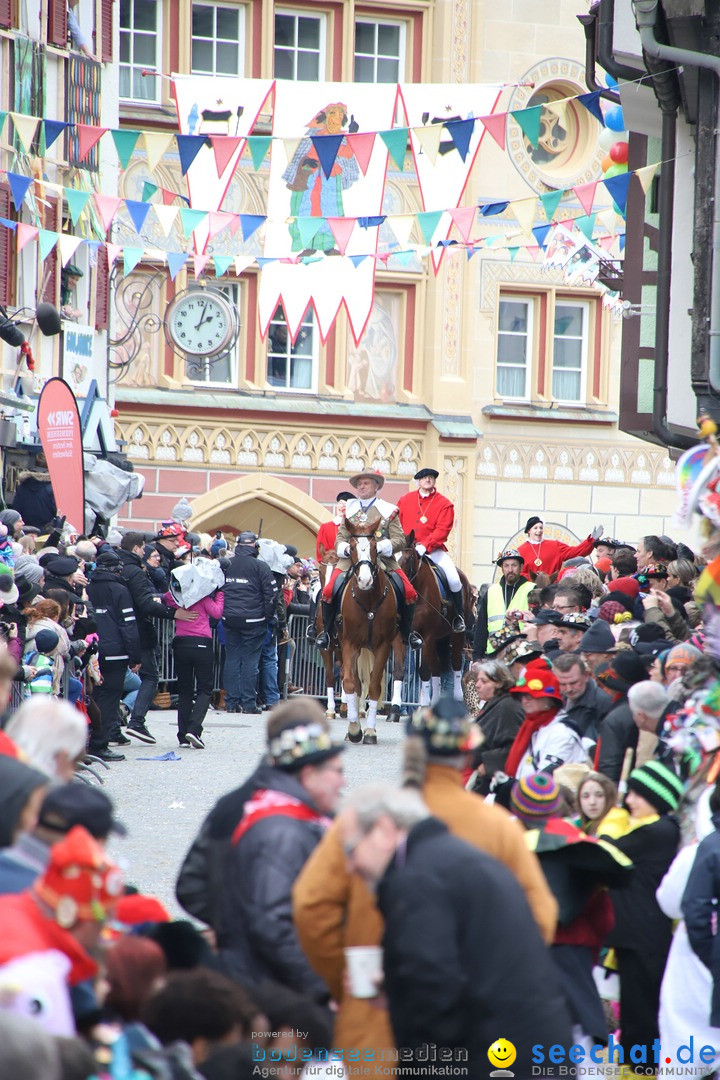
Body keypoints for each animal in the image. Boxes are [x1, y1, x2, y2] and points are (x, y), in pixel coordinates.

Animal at [334, 520, 403, 743]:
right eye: (351, 547)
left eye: (374, 547)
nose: (365, 581)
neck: (369, 600)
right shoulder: (349, 645)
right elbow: (349, 683)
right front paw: (354, 729)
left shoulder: (383, 646)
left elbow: (374, 686)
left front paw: (370, 731)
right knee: (355, 683)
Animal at [397, 533, 470, 704]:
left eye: (409, 558)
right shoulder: (399, 636)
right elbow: (400, 671)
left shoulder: (428, 635)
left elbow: (423, 671)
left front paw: (423, 705)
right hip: (438, 639)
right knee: (437, 669)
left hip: (456, 636)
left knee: (456, 664)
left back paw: (457, 697)